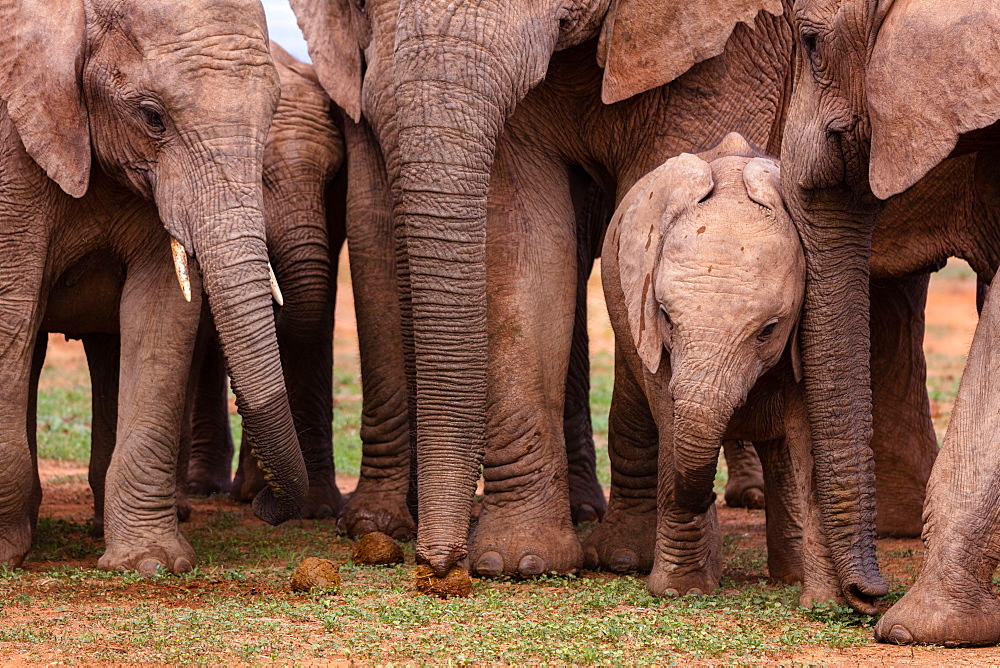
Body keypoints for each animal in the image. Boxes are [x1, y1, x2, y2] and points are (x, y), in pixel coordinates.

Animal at [0, 0, 306, 576]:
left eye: (272, 116)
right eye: (152, 116)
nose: (263, 505)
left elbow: (161, 320)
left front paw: (151, 563)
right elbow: (11, 310)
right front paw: (6, 554)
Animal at [584, 133, 852, 608]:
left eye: (768, 330)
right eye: (666, 317)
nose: (711, 495)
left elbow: (808, 436)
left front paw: (826, 604)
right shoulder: (650, 326)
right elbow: (668, 415)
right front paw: (682, 590)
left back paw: (788, 574)